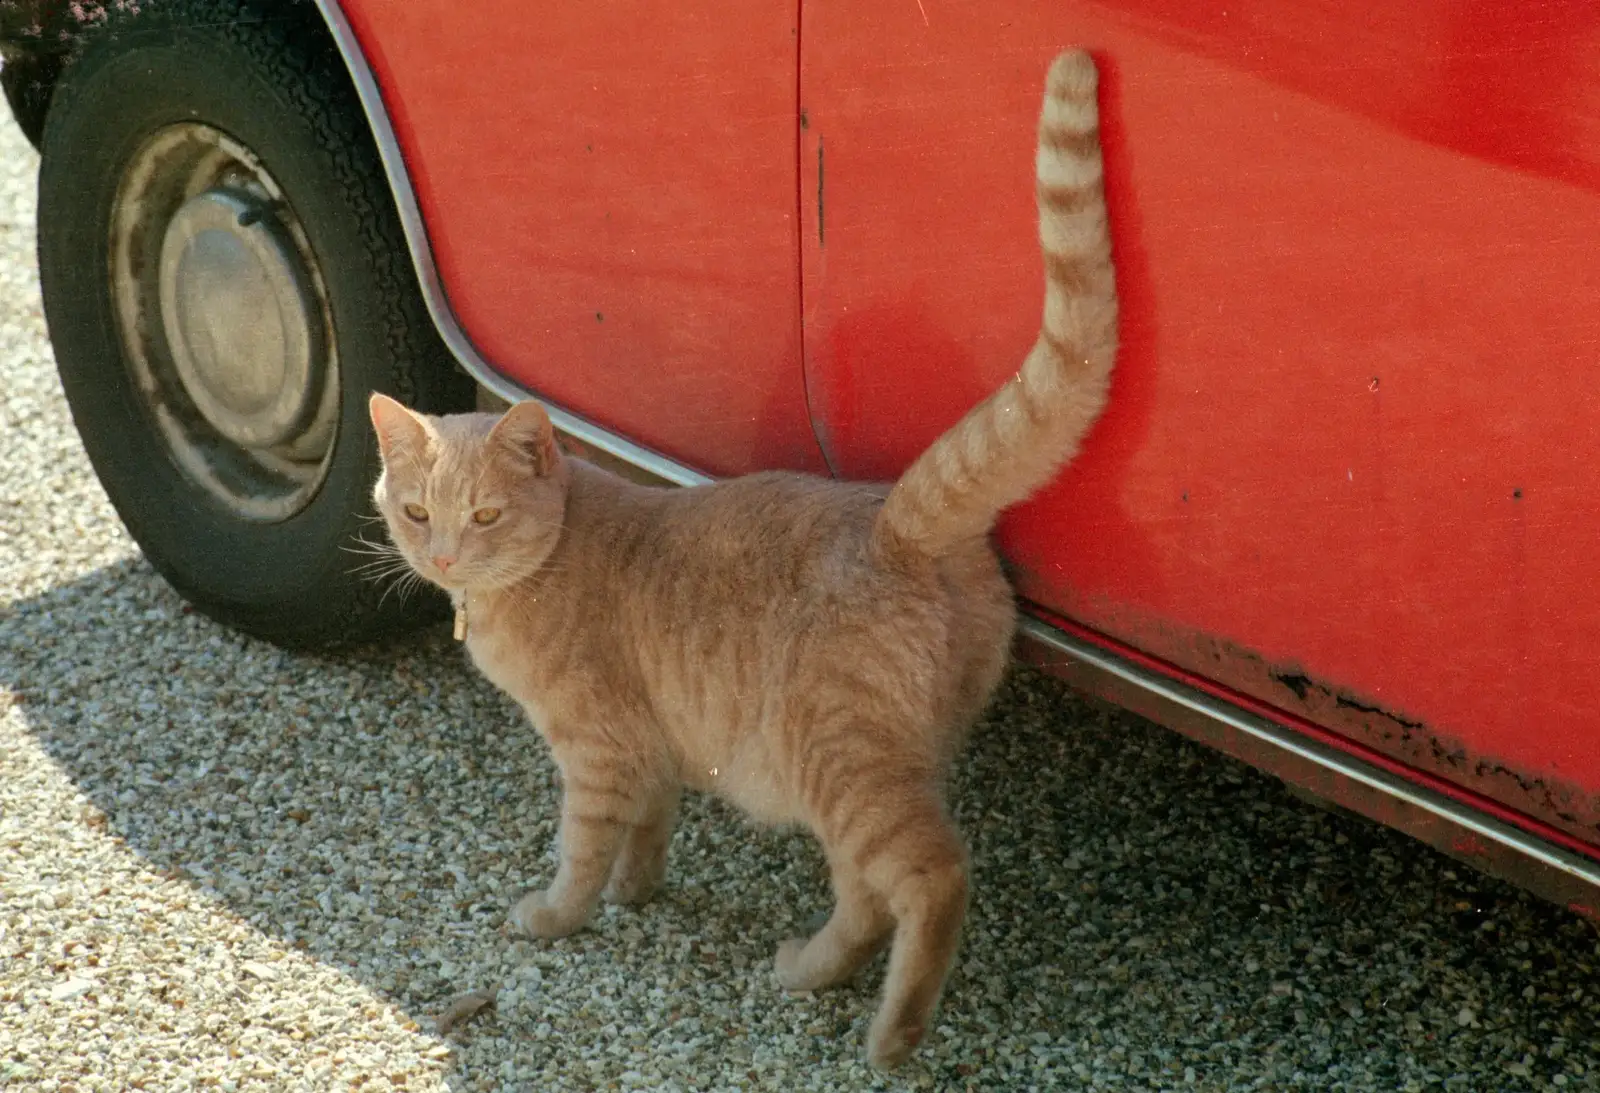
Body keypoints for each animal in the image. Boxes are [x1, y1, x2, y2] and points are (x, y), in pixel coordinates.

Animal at [366, 51, 1113, 1068]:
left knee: (932, 877)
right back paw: (813, 970)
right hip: (863, 769)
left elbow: (580, 846)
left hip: (844, 763)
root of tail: (895, 518)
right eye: (415, 513)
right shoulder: (647, 744)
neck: (545, 564)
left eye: (483, 515)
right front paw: (638, 887)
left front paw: (557, 914)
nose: (442, 557)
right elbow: (648, 823)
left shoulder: (595, 747)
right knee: (867, 895)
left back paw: (895, 1032)